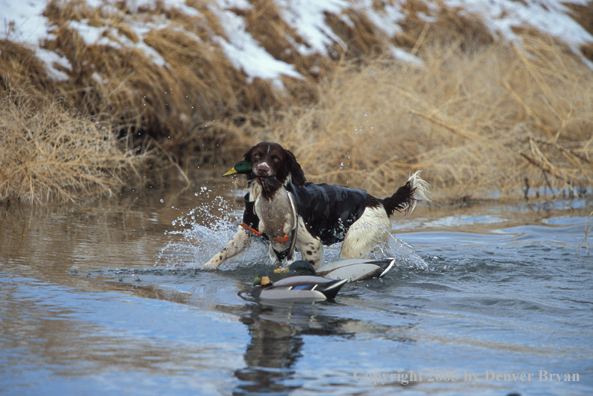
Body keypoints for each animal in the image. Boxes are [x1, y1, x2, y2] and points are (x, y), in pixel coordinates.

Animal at [202, 142, 426, 270]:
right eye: (257, 155)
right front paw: (208, 265)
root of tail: (381, 202)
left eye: (276, 158)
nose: (263, 170)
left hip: (355, 246)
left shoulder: (311, 244)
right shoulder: (248, 230)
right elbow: (225, 250)